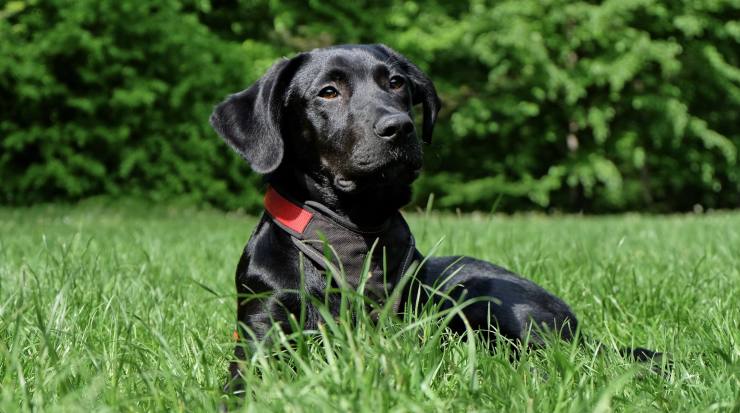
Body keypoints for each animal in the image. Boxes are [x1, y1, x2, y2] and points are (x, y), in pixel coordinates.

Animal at [210, 44, 660, 390]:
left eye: (396, 83)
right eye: (328, 92)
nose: (399, 127)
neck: (353, 232)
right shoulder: (262, 329)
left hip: (488, 298)